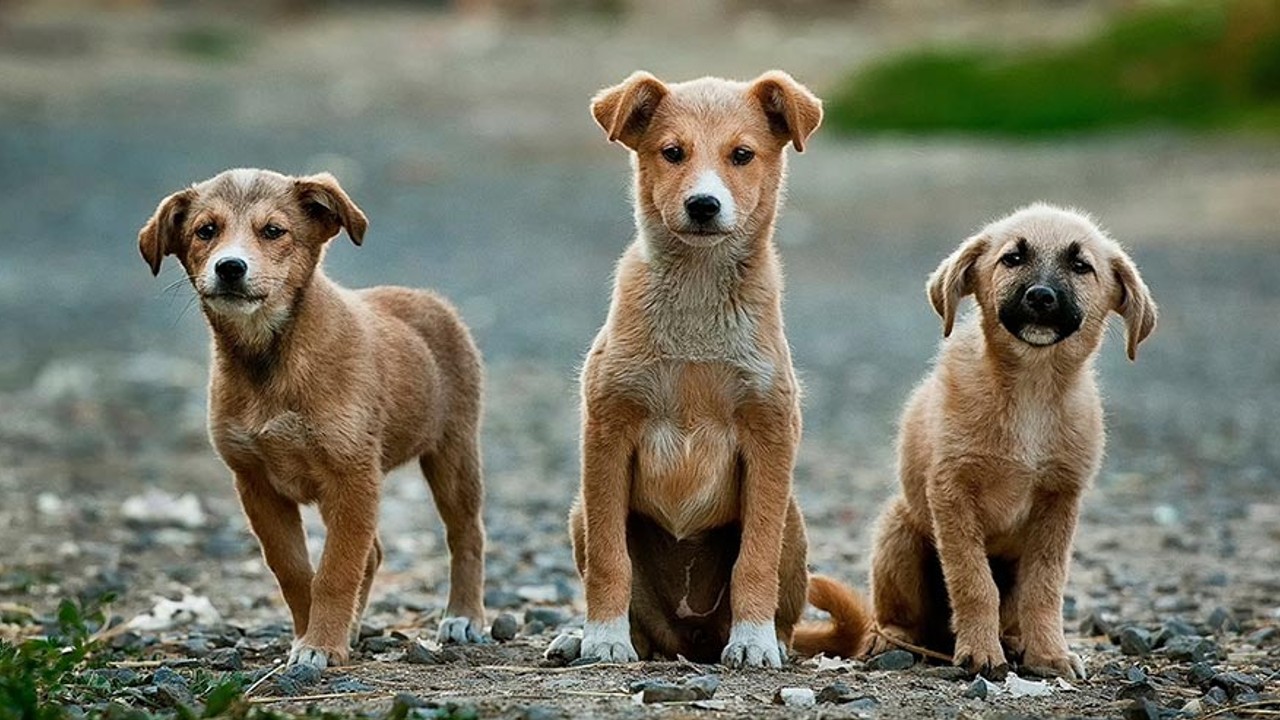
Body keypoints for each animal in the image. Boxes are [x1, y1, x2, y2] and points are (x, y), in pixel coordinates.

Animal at [138, 167, 488, 666]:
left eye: (273, 231)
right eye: (206, 231)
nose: (230, 268)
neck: (270, 360)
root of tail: (428, 299)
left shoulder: (352, 476)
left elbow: (337, 570)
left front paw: (321, 644)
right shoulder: (256, 484)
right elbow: (295, 570)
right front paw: (312, 636)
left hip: (453, 452)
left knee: (466, 535)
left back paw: (463, 617)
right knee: (374, 553)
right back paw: (355, 627)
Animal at [540, 70, 819, 666]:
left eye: (742, 155)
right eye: (672, 152)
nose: (703, 205)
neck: (696, 293)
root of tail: (689, 639)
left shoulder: (770, 434)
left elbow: (754, 558)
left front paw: (754, 641)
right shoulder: (607, 430)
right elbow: (610, 559)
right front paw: (603, 637)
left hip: (793, 519)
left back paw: (769, 641)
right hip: (579, 513)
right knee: (640, 618)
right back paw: (584, 637)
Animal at [793, 203, 1157, 676]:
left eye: (1081, 266)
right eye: (1012, 258)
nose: (1041, 296)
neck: (1031, 389)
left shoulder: (1059, 502)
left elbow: (1045, 587)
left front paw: (1049, 653)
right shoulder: (952, 492)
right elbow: (973, 581)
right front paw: (982, 652)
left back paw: (1015, 641)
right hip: (898, 530)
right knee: (896, 617)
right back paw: (893, 640)